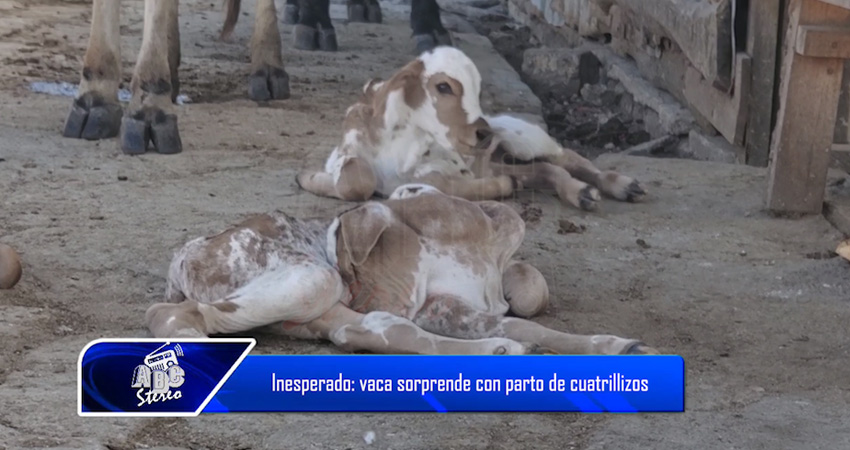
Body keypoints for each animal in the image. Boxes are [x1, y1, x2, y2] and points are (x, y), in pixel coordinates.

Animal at [146, 183, 657, 355]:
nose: (362, 290)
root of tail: (180, 257)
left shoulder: (443, 305)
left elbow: (525, 312)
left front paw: (615, 345)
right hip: (310, 279)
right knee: (171, 315)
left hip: (313, 301)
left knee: (371, 331)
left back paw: (502, 350)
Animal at [296, 46, 647, 211]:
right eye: (443, 87)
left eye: (478, 90)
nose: (485, 133)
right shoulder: (343, 152)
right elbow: (355, 181)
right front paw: (311, 179)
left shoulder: (453, 171)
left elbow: (446, 185)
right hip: (505, 158)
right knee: (546, 170)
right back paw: (581, 191)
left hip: (525, 139)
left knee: (568, 158)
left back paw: (617, 185)